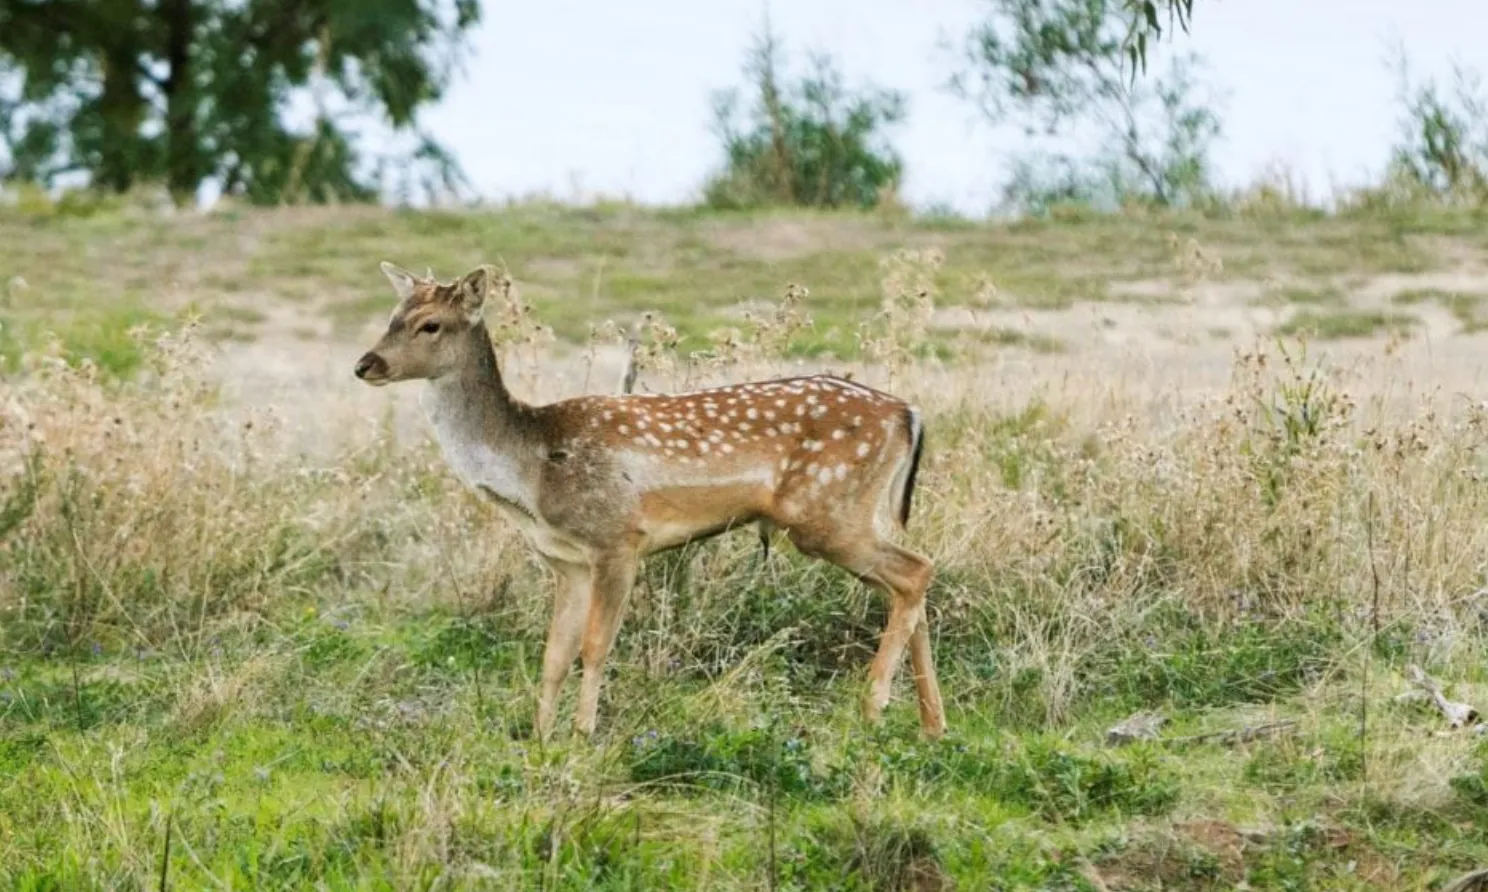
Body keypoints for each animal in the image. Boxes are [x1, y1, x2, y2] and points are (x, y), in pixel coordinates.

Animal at [354, 262, 946, 744]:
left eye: (431, 324)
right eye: (393, 315)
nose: (366, 365)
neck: (533, 468)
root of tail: (909, 414)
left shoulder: (617, 538)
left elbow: (595, 645)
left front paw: (583, 734)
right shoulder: (566, 561)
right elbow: (554, 653)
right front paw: (540, 737)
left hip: (827, 510)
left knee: (916, 569)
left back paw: (873, 707)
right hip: (845, 515)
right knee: (909, 582)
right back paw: (931, 725)